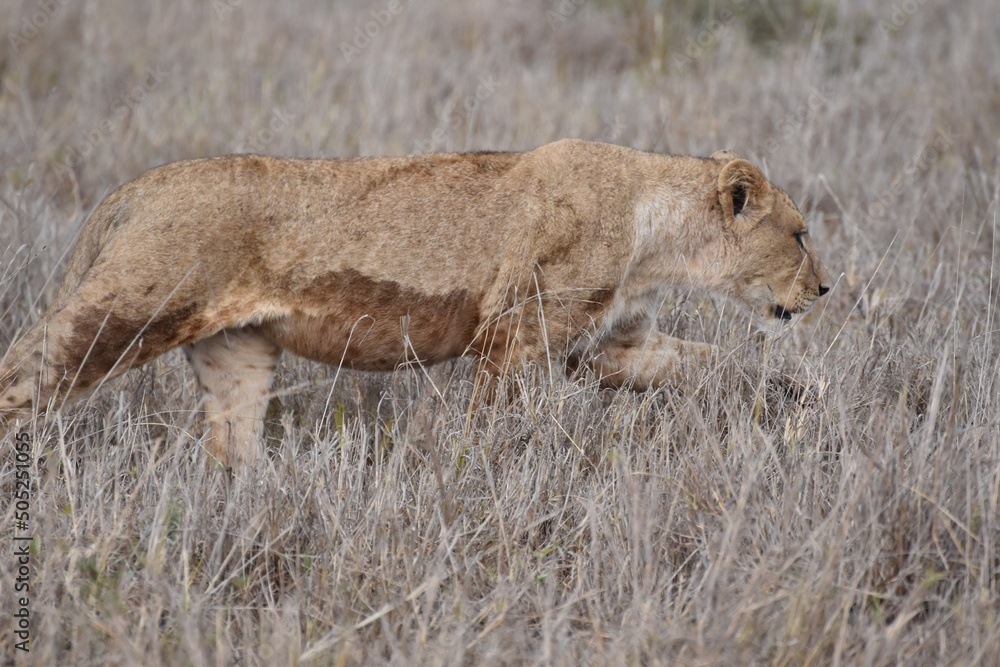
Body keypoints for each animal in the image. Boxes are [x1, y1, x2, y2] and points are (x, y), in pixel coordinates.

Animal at [0, 139, 829, 470]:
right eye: (799, 234)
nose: (825, 289)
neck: (654, 233)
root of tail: (134, 188)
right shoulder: (515, 336)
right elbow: (495, 424)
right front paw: (483, 475)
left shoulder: (608, 345)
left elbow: (707, 361)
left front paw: (797, 393)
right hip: (122, 313)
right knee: (21, 373)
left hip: (238, 352)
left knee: (230, 450)